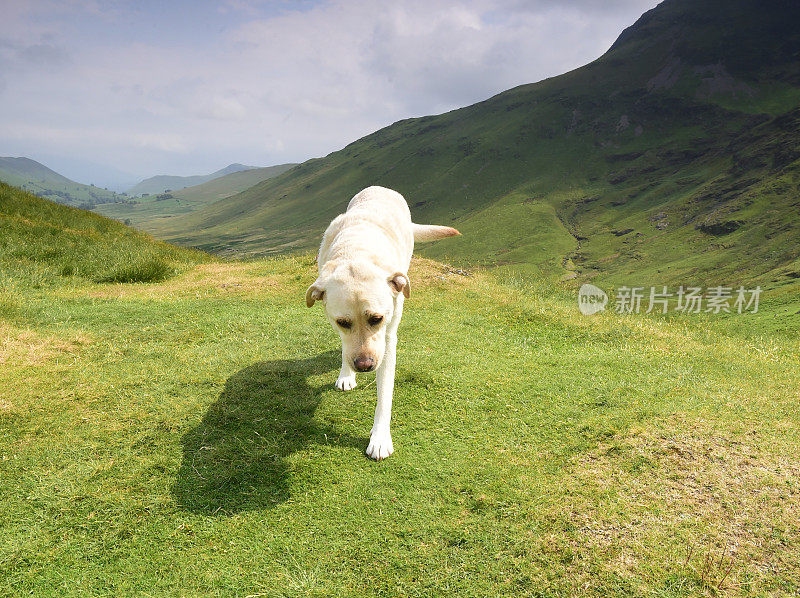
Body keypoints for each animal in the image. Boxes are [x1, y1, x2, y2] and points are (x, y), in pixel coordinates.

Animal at [304, 189, 460, 464]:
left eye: (376, 319)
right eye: (343, 322)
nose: (364, 366)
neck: (356, 251)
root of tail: (381, 188)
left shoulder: (386, 340)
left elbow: (384, 395)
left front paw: (379, 439)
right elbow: (345, 348)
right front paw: (346, 374)